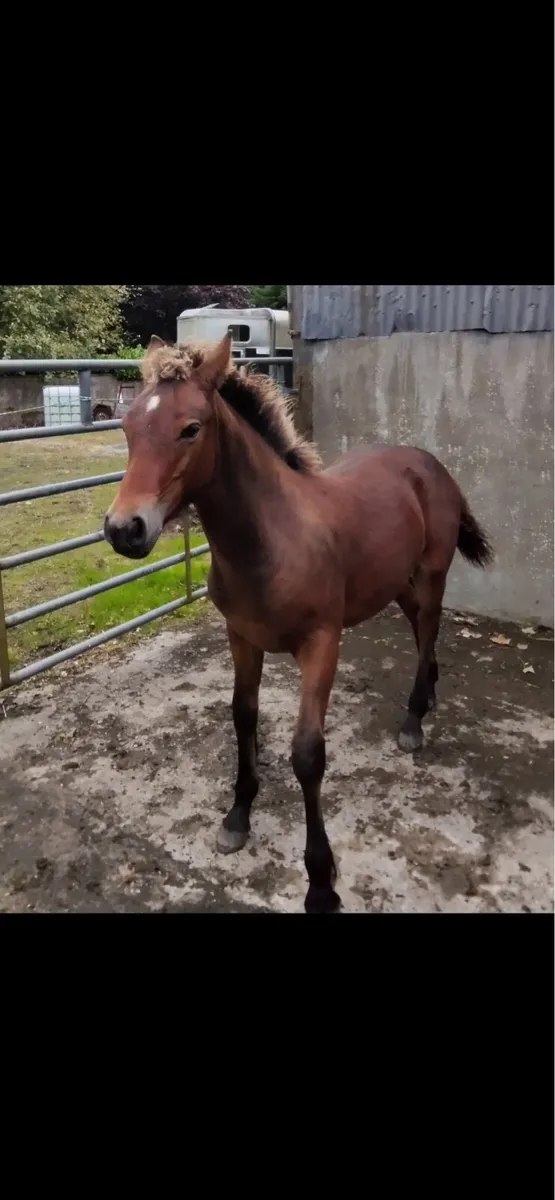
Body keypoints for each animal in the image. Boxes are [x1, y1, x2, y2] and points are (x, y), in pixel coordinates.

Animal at [104, 331, 493, 914]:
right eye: (127, 427)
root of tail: (431, 463)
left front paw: (321, 882)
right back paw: (431, 691)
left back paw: (414, 718)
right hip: (394, 581)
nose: (123, 529)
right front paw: (238, 815)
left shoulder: (321, 645)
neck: (271, 541)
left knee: (428, 629)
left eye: (190, 428)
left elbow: (307, 755)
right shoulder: (241, 637)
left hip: (430, 575)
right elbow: (243, 716)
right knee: (419, 629)